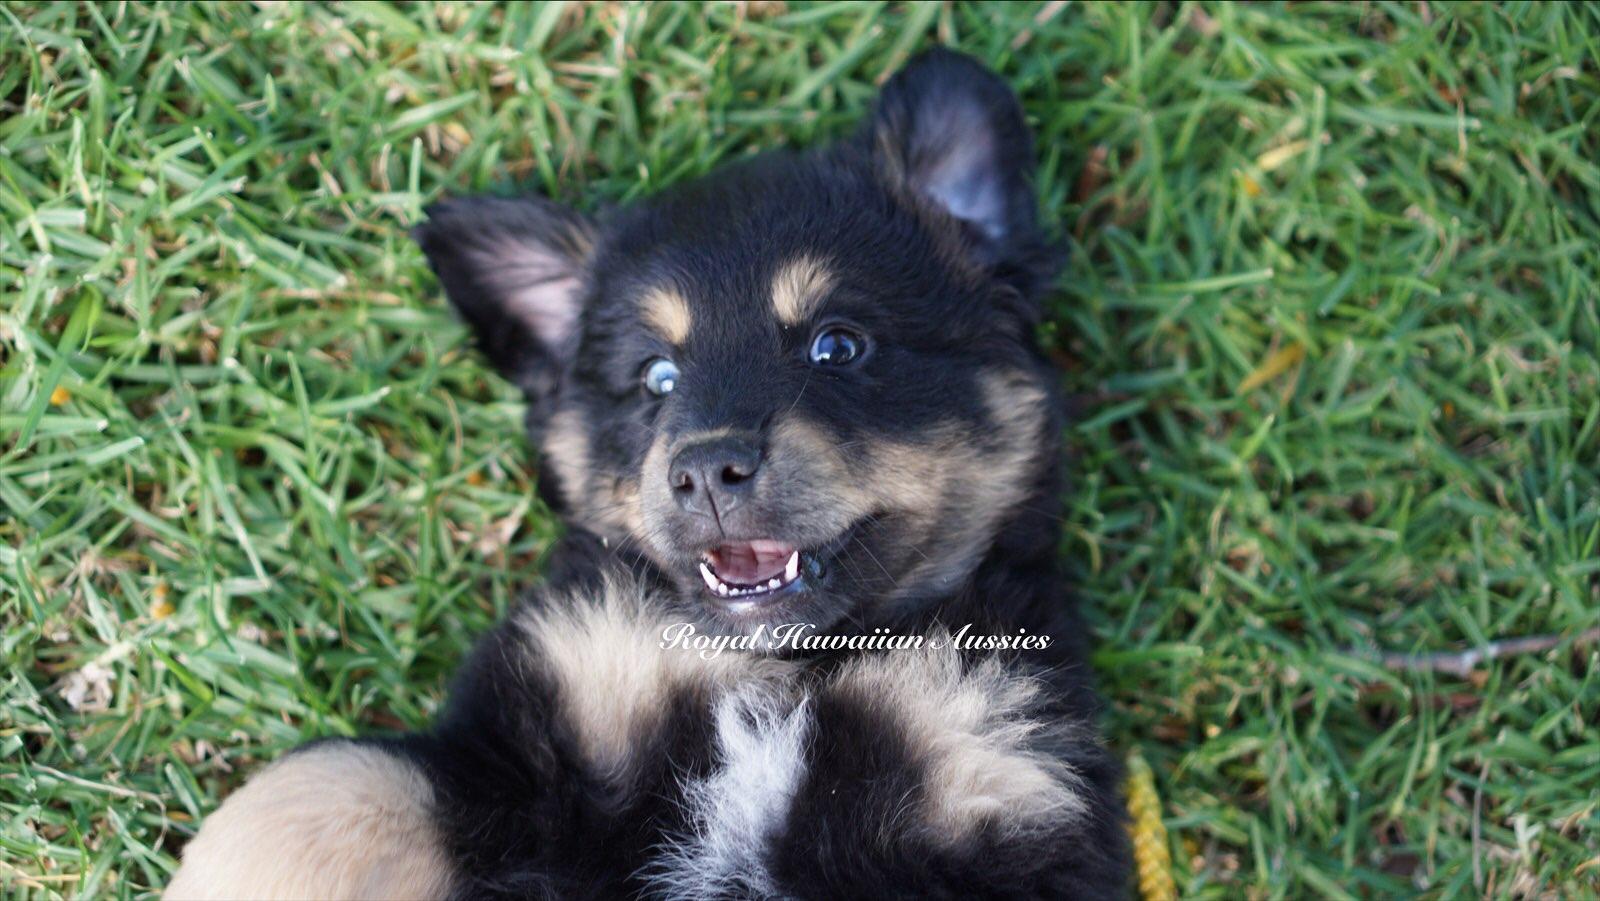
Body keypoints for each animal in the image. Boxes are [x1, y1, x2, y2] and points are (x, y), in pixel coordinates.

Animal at [167, 49, 1131, 899]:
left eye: (838, 344)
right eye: (656, 377)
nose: (705, 468)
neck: (776, 676)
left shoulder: (1004, 777)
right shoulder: (514, 736)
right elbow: (322, 783)